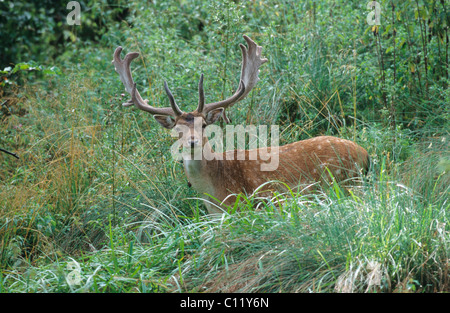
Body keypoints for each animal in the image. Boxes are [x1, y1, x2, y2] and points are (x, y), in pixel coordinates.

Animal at [112, 35, 370, 213]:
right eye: (177, 128)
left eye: (204, 125)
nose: (192, 142)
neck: (214, 195)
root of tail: (366, 155)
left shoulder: (252, 201)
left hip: (342, 180)